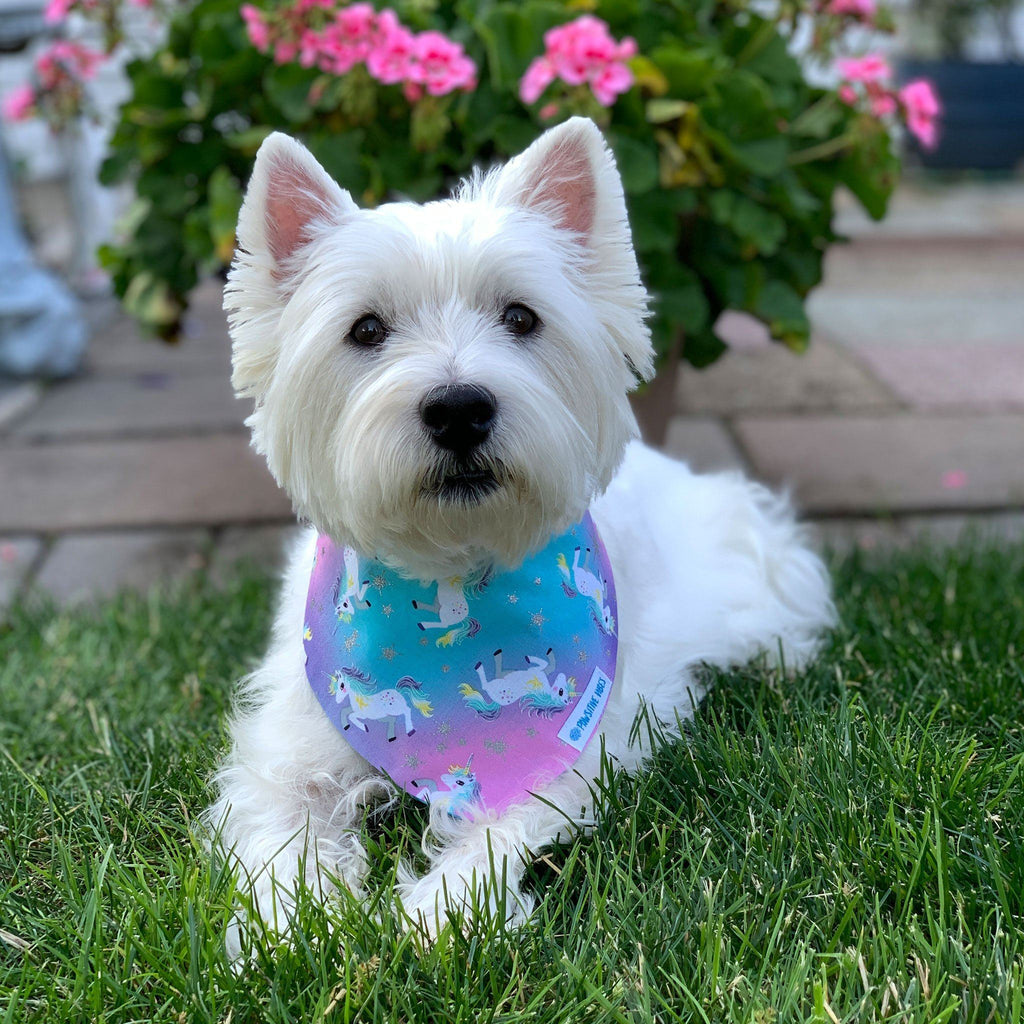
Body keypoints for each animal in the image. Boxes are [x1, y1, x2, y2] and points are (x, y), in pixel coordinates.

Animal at [205, 117, 831, 942]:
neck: (453, 562)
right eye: (365, 329)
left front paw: (438, 913)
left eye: (521, 317)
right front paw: (294, 926)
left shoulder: (578, 748)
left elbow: (502, 825)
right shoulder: (288, 740)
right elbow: (282, 829)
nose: (459, 408)